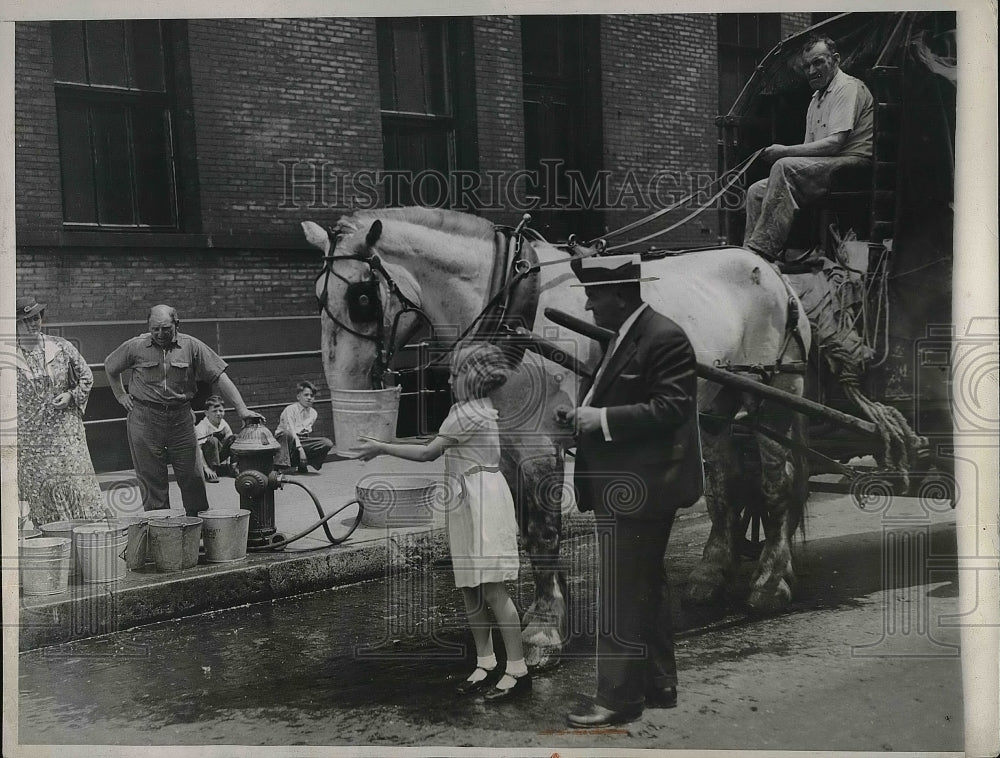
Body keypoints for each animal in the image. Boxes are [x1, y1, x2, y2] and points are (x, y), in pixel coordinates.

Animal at [302, 208, 812, 664]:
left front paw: (544, 631)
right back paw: (710, 577)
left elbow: (545, 532)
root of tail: (771, 270)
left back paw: (770, 582)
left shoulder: (538, 445)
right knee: (724, 485)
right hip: (717, 408)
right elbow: (528, 532)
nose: (347, 394)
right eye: (318, 298)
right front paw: (546, 616)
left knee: (777, 482)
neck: (511, 306)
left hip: (776, 397)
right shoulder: (508, 448)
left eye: (363, 298)